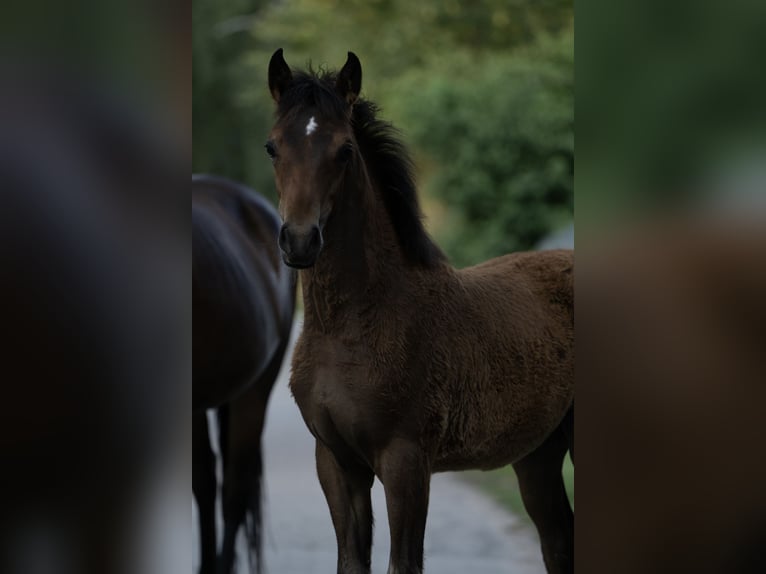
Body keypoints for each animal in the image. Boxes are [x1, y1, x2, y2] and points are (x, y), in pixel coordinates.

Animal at [265, 49, 574, 574]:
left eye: (345, 151)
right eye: (272, 147)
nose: (300, 241)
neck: (350, 329)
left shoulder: (406, 462)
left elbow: (403, 562)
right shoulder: (335, 462)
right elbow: (351, 561)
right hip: (539, 454)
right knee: (557, 537)